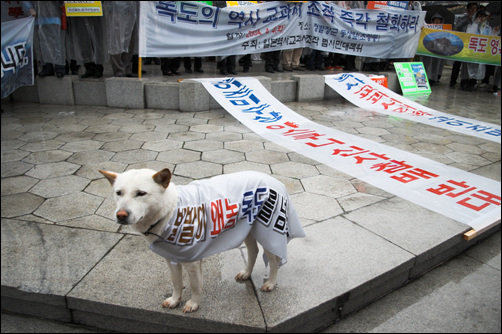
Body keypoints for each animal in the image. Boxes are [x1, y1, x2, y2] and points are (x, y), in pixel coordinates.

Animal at [99, 170, 304, 314]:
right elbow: (176, 282)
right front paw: (175, 300)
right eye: (118, 193)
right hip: (247, 228)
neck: (170, 210)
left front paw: (193, 304)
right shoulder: (170, 257)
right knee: (253, 251)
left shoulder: (191, 260)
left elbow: (195, 286)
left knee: (274, 260)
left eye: (141, 193)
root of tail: (274, 180)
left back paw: (271, 283)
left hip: (267, 232)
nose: (121, 215)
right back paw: (246, 273)